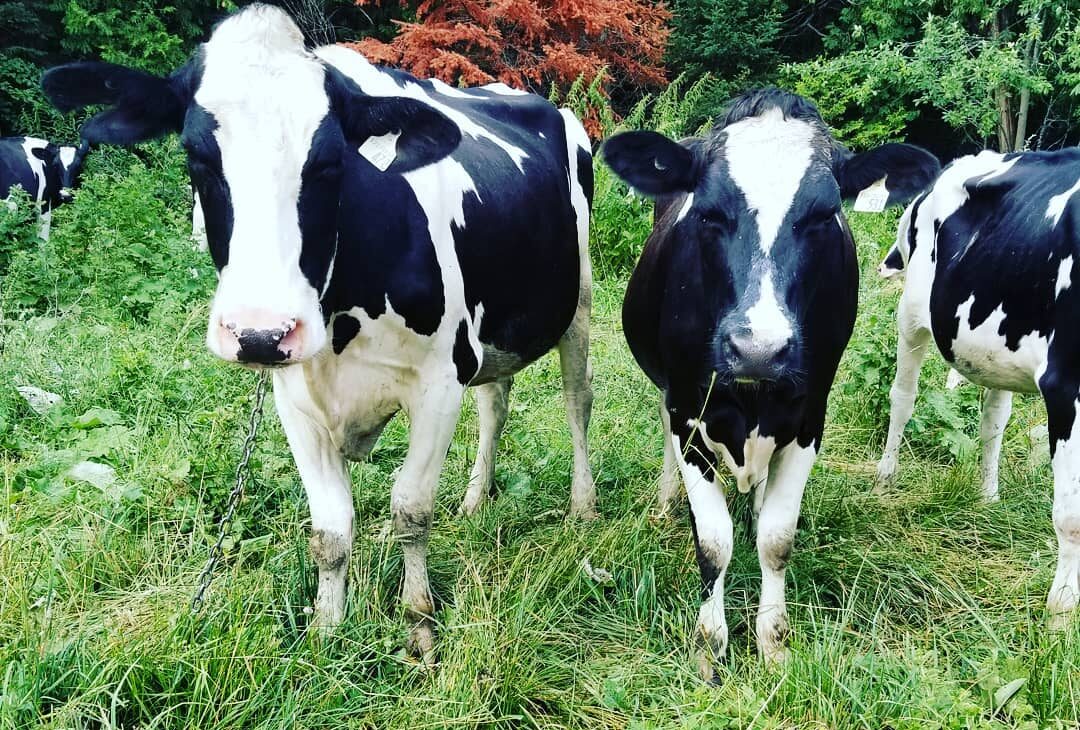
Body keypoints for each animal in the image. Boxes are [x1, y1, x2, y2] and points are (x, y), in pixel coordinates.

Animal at [42, 3, 596, 660]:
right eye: (197, 157)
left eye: (331, 163)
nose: (259, 333)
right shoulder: (294, 396)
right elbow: (330, 530)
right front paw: (327, 631)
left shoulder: (438, 383)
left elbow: (410, 510)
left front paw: (419, 625)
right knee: (495, 401)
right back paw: (475, 497)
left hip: (579, 304)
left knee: (577, 400)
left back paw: (584, 507)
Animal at [602, 88, 939, 678]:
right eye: (709, 211)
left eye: (825, 214)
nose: (758, 348)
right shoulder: (688, 413)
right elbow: (713, 542)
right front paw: (709, 645)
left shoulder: (809, 418)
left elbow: (776, 539)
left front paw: (773, 641)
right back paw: (667, 497)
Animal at [875, 147, 1080, 632]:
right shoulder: (1065, 383)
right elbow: (1072, 515)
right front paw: (1061, 614)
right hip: (911, 315)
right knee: (902, 398)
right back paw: (885, 477)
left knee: (993, 422)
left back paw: (988, 497)